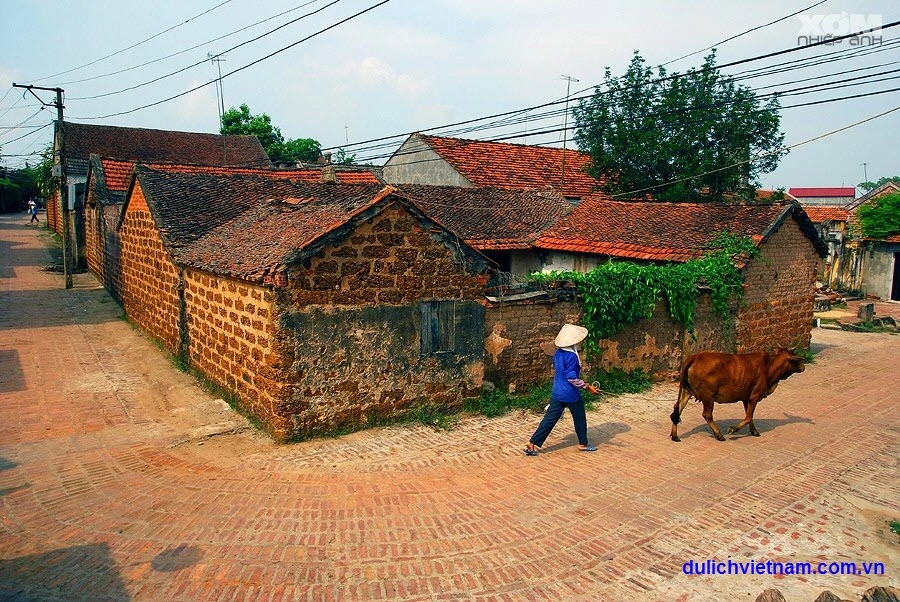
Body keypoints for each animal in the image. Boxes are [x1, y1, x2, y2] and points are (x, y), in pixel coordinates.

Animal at [668, 346, 808, 440]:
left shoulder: (746, 398)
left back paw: (675, 435)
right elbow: (749, 416)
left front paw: (754, 431)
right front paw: (733, 429)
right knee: (707, 414)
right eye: (795, 359)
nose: (803, 366)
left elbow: (749, 416)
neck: (769, 366)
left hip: (686, 391)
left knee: (677, 409)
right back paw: (719, 435)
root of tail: (695, 357)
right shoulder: (754, 396)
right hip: (708, 397)